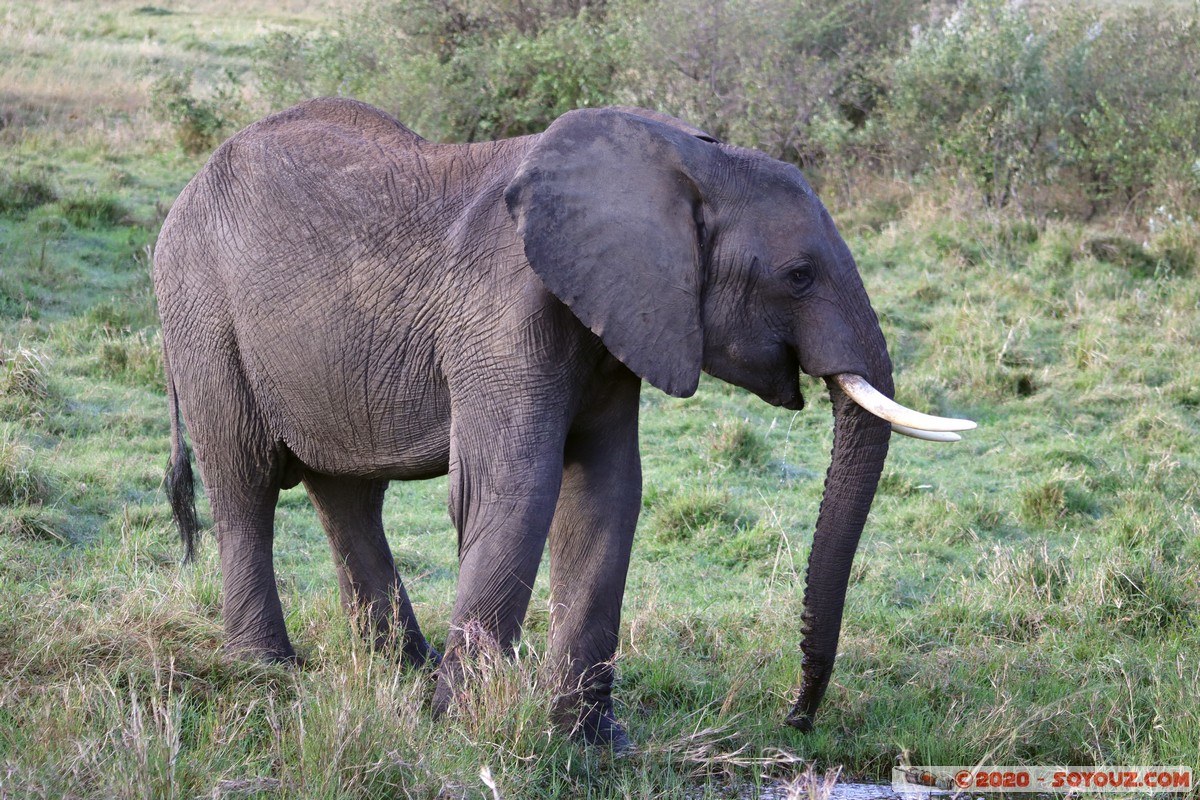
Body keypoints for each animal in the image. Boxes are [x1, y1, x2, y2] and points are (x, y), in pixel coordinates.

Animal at [152, 97, 974, 748]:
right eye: (798, 275)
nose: (796, 717)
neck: (681, 161)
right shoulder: (503, 311)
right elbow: (514, 490)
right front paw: (455, 729)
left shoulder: (619, 322)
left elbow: (606, 495)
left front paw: (590, 743)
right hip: (200, 311)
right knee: (246, 482)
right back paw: (268, 670)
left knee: (347, 492)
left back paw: (404, 667)